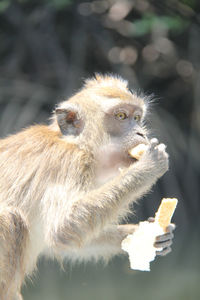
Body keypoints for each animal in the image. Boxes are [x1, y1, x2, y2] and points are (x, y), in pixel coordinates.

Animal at [0, 74, 175, 298]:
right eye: (121, 116)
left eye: (136, 118)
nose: (140, 134)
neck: (79, 145)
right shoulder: (67, 162)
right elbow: (63, 227)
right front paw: (147, 166)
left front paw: (142, 234)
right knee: (10, 218)